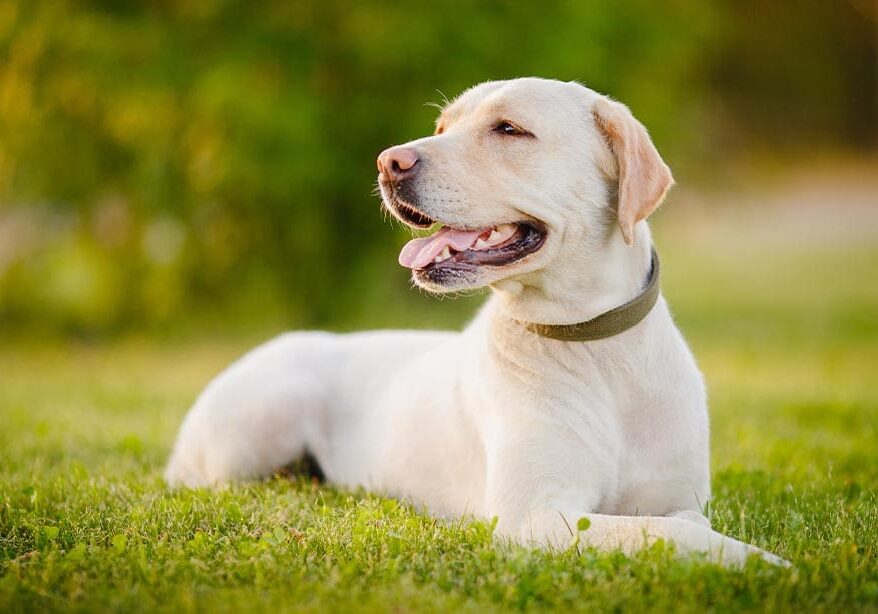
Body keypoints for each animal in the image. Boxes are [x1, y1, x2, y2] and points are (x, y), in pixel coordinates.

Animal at [167, 79, 792, 572]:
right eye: (443, 126)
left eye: (509, 129)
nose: (388, 162)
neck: (593, 345)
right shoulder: (535, 517)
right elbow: (674, 534)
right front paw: (770, 564)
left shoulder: (677, 496)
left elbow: (683, 524)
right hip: (256, 426)